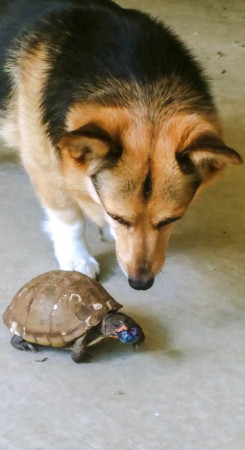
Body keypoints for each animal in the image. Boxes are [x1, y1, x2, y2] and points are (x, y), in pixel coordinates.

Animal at [0, 0, 241, 290]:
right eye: (118, 217)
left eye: (171, 220)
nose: (140, 284)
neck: (143, 89)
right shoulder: (45, 164)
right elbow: (69, 218)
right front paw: (77, 258)